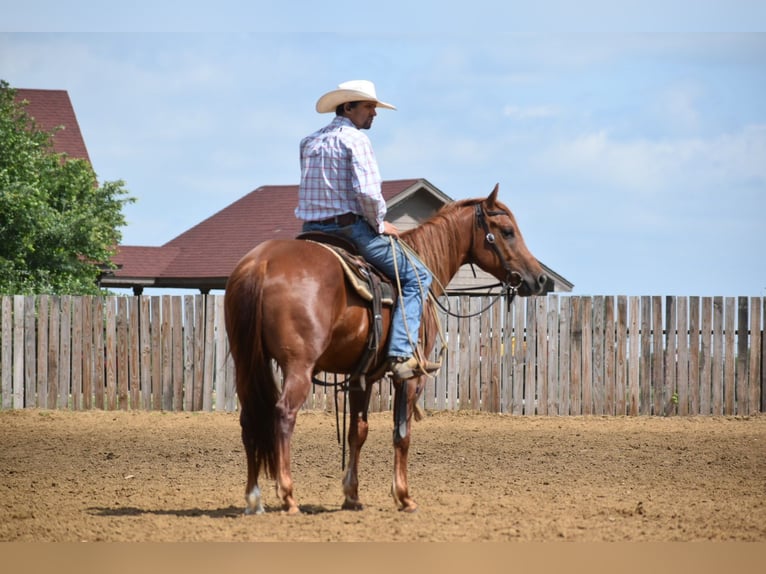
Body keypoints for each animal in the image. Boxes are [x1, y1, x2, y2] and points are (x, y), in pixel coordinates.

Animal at [224, 184, 547, 514]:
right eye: (507, 231)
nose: (539, 279)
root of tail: (261, 264)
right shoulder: (410, 377)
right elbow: (401, 434)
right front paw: (404, 496)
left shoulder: (360, 377)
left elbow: (358, 431)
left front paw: (352, 494)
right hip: (298, 366)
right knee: (284, 414)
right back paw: (288, 496)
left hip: (246, 363)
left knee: (250, 417)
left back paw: (253, 497)